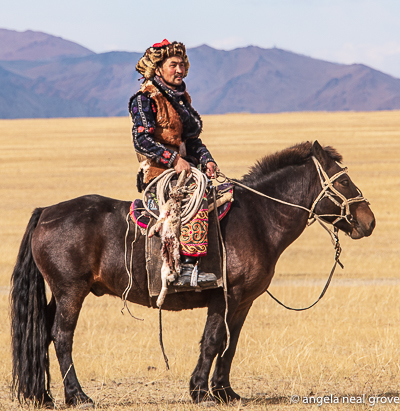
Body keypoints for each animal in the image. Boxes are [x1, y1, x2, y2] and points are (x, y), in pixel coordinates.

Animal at [11, 141, 376, 406]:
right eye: (344, 180)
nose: (368, 221)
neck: (259, 218)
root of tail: (46, 212)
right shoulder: (224, 296)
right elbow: (213, 341)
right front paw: (201, 392)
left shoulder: (242, 302)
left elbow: (230, 343)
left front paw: (226, 392)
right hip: (71, 291)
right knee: (62, 337)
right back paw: (78, 396)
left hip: (60, 293)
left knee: (42, 334)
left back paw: (43, 396)